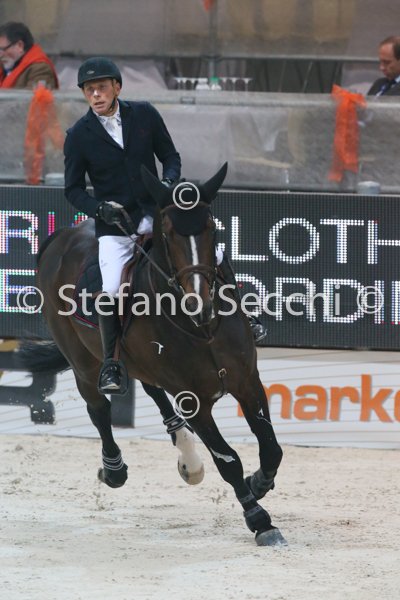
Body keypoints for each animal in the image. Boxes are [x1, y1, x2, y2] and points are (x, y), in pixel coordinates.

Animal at [19, 163, 285, 546]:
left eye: (212, 228)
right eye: (169, 234)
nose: (200, 305)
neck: (202, 329)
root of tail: (61, 237)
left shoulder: (247, 381)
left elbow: (272, 449)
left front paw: (259, 483)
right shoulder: (194, 400)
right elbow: (228, 459)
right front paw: (260, 520)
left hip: (139, 362)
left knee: (151, 389)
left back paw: (188, 458)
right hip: (83, 361)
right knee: (98, 407)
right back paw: (114, 469)